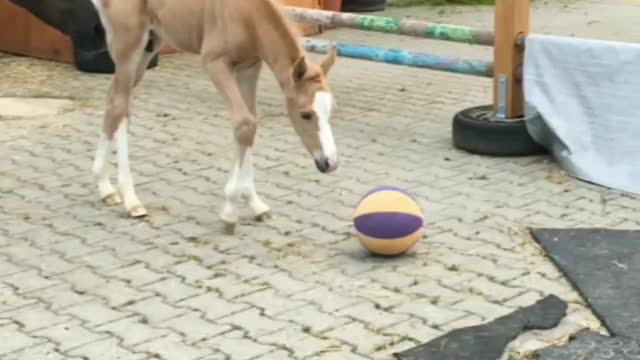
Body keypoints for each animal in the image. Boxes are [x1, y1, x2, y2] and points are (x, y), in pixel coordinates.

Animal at [91, 0, 340, 233]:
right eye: (305, 114)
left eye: (330, 111)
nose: (329, 163)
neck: (246, 14)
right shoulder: (214, 62)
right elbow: (244, 124)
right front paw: (229, 210)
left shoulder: (249, 67)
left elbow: (251, 122)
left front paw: (255, 203)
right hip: (129, 42)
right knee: (121, 106)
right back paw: (131, 199)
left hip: (149, 46)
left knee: (113, 101)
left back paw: (105, 186)